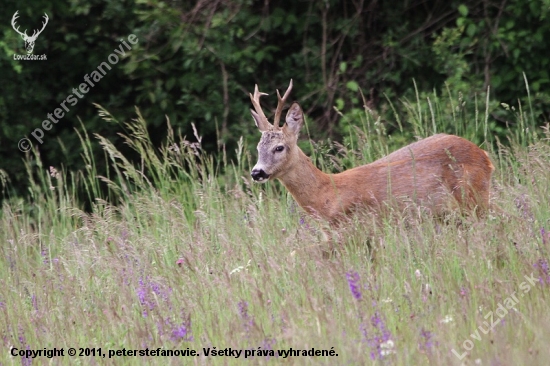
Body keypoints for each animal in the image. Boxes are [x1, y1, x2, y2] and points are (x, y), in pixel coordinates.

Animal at [252, 80, 498, 223]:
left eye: (279, 147)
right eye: (257, 147)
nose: (256, 172)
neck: (327, 194)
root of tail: (485, 156)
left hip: (474, 197)